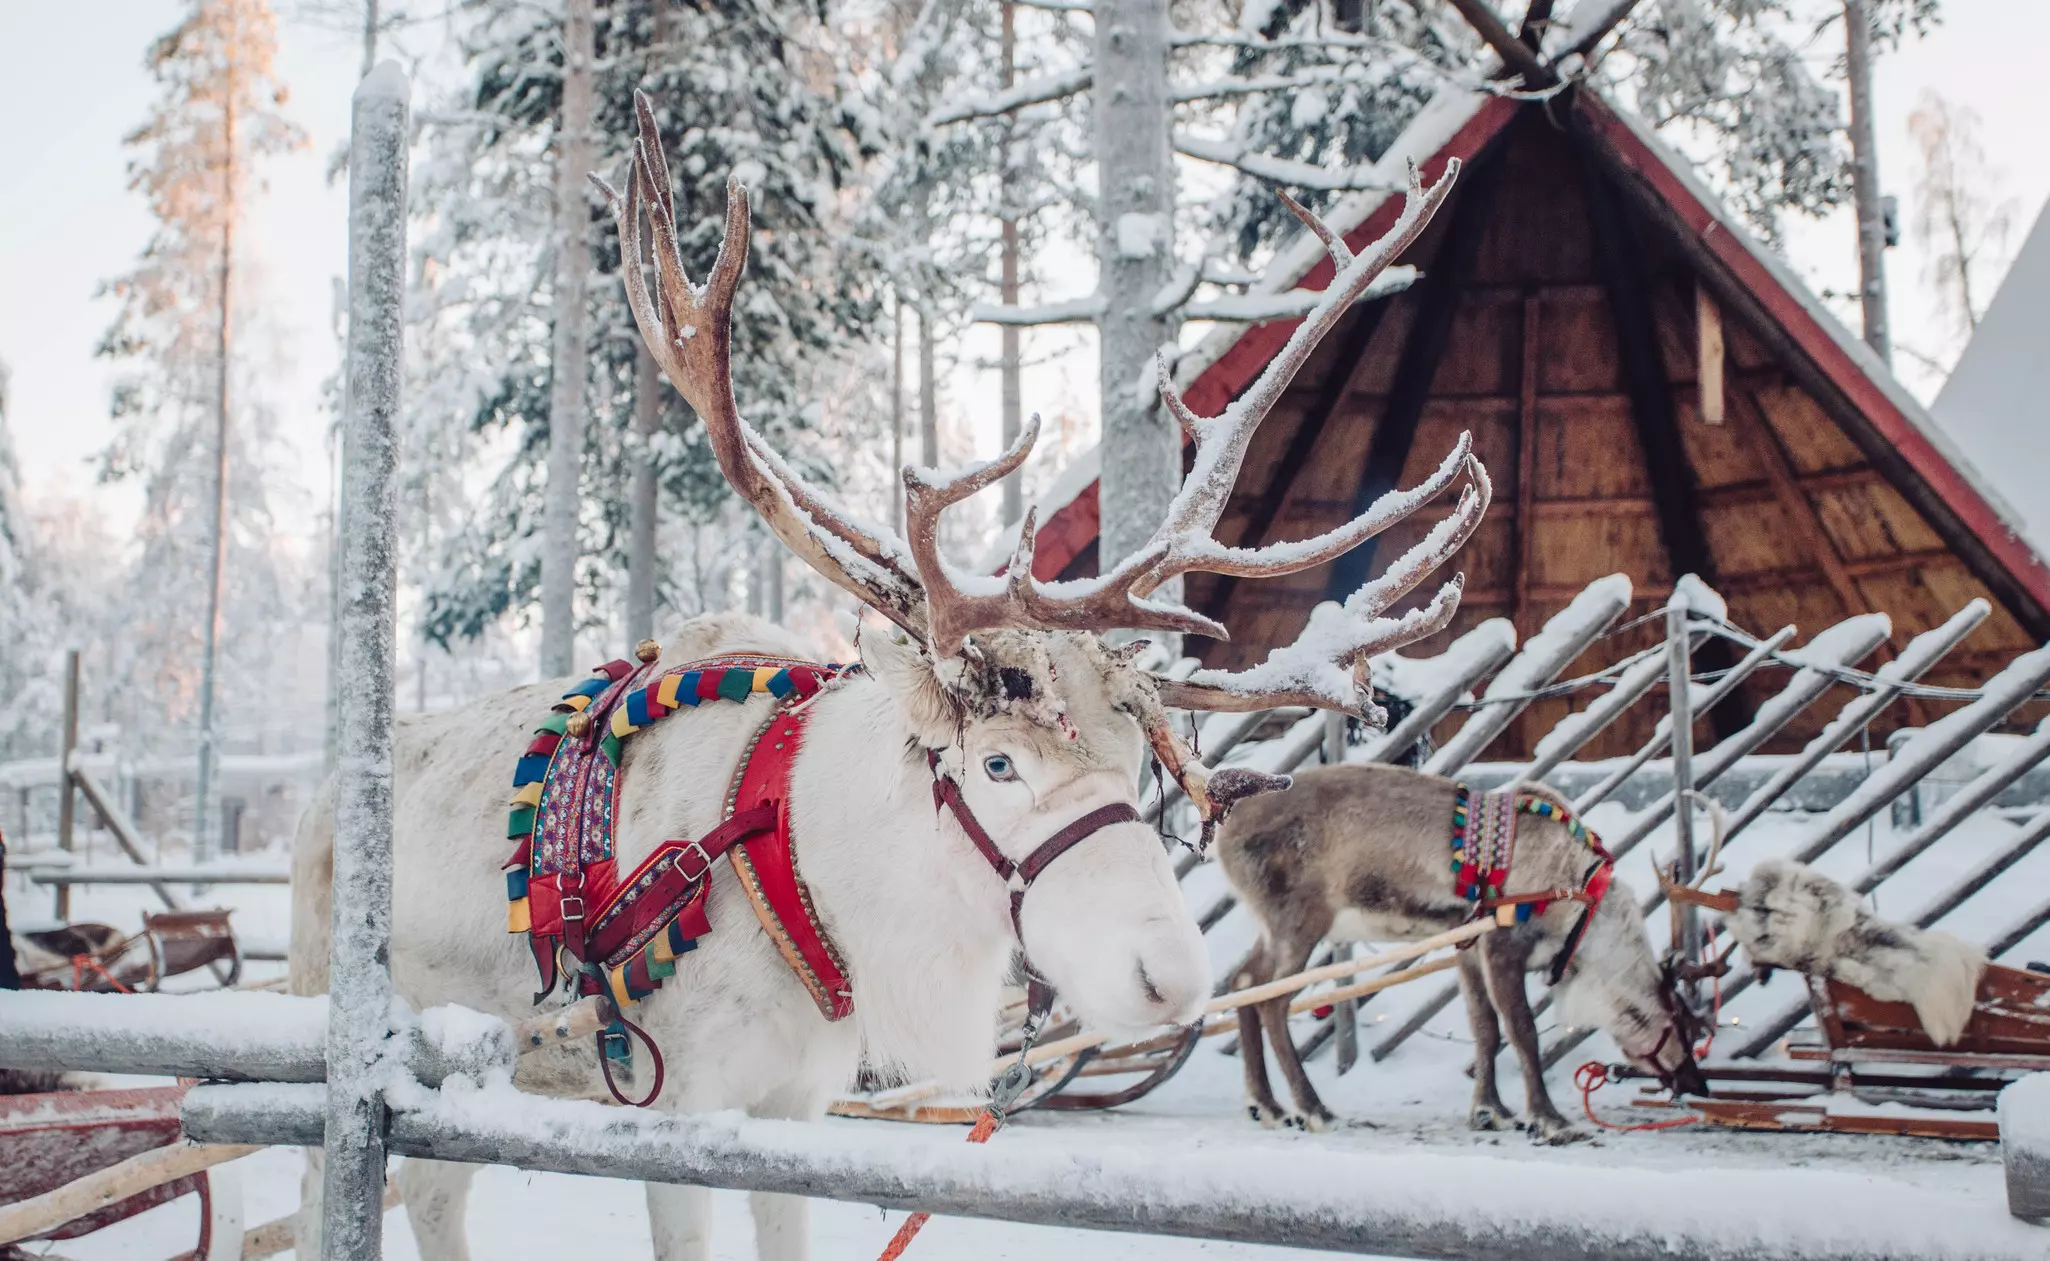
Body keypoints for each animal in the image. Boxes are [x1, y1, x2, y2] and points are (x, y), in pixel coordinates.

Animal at [288, 91, 1488, 1261]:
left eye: (1135, 768)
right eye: (997, 763)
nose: (1172, 979)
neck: (806, 866)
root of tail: (326, 800)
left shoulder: (798, 1100)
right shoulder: (677, 1102)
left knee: (433, 1194)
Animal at [1216, 763, 1708, 1143]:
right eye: (1686, 1027)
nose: (1697, 1083)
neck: (1581, 912)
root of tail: (1223, 836)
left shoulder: (1465, 944)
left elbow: (1484, 1026)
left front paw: (1491, 1111)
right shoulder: (1502, 945)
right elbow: (1523, 1032)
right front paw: (1549, 1120)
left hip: (1275, 928)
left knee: (1242, 981)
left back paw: (1266, 1105)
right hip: (1299, 922)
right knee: (1272, 1001)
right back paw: (1312, 1108)